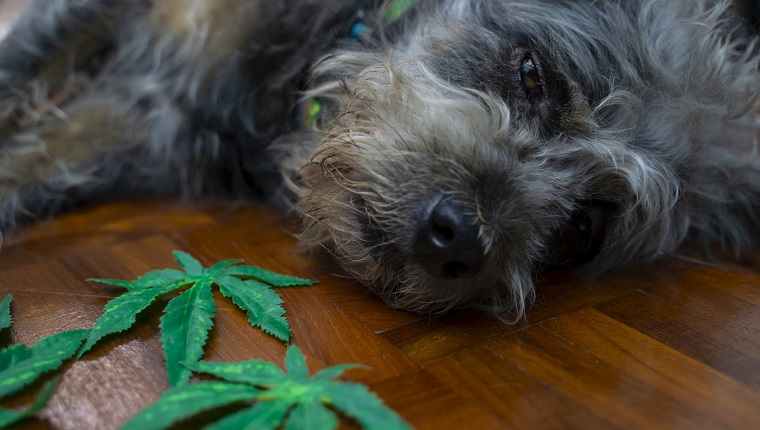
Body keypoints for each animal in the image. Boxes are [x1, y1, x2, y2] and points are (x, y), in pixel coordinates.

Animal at [1, 0, 760, 320]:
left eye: (581, 230)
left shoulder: (150, 127)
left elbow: (33, 170)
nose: (456, 239)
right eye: (532, 74)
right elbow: (17, 68)